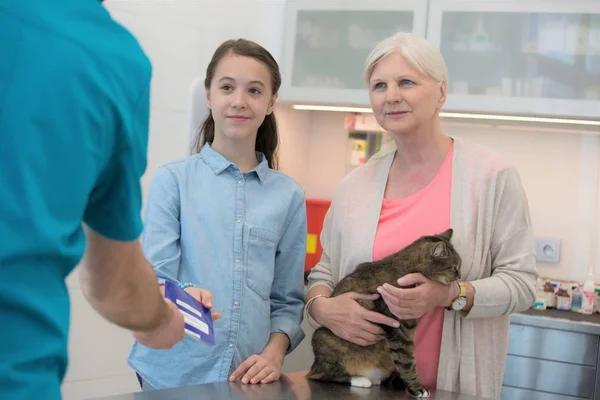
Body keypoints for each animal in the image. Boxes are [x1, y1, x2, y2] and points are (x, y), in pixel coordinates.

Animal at [308, 228, 462, 396]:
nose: (460, 276)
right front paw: (417, 388)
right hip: (322, 337)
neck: (407, 270)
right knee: (322, 374)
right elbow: (407, 361)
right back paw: (359, 379)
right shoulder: (397, 329)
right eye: (454, 268)